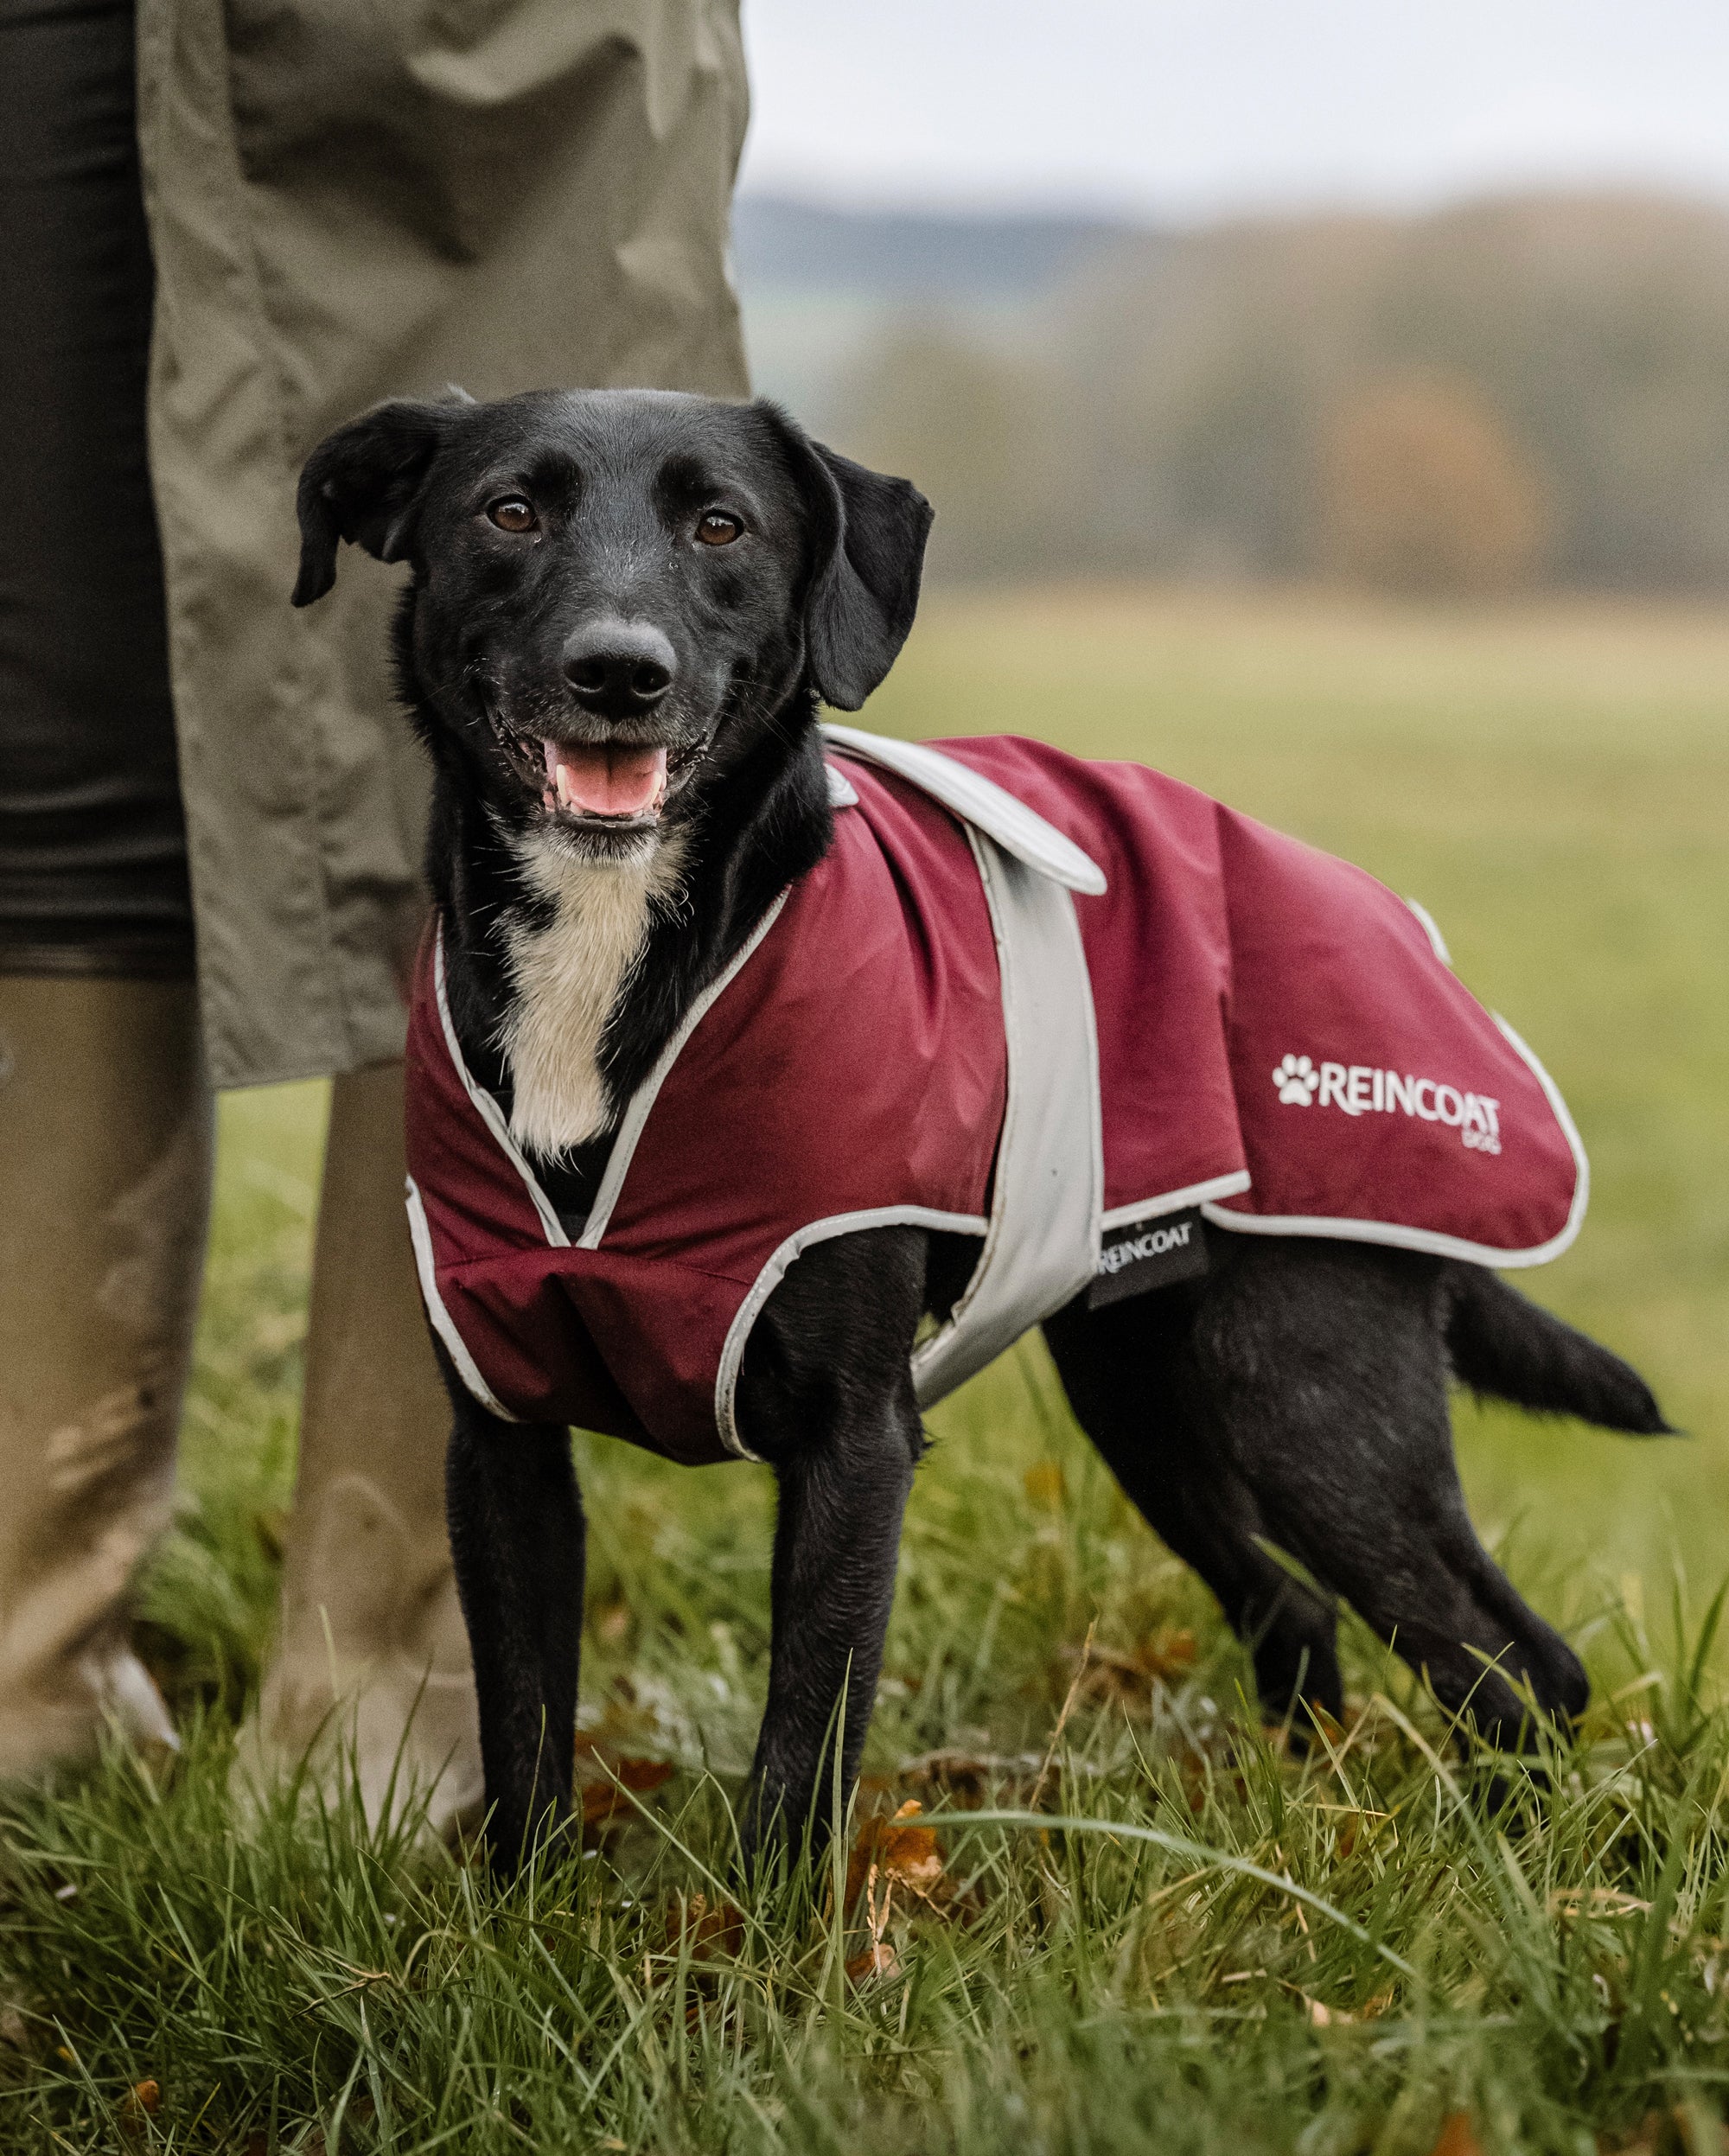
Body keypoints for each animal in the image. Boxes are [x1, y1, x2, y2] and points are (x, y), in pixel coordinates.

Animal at [289, 387, 1664, 1871]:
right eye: (509, 511)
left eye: (721, 524)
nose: (619, 671)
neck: (621, 947)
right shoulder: (500, 1441)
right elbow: (526, 1739)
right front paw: (524, 1919)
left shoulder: (855, 1442)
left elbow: (801, 1752)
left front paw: (762, 1936)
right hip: (1144, 1390)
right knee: (1303, 1612)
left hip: (1308, 1395)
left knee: (1516, 1663)